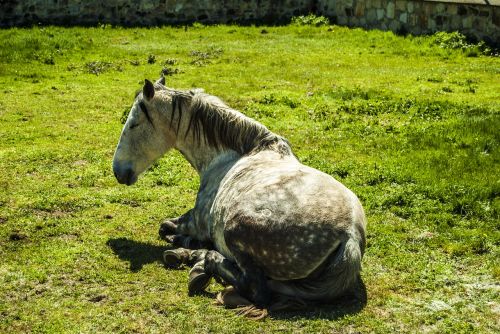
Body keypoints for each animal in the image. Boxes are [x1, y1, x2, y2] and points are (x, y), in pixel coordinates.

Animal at [111, 77, 366, 314]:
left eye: (134, 124)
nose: (118, 171)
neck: (231, 156)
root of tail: (349, 237)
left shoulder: (195, 222)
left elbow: (164, 227)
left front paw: (185, 244)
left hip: (235, 231)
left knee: (256, 289)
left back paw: (202, 262)